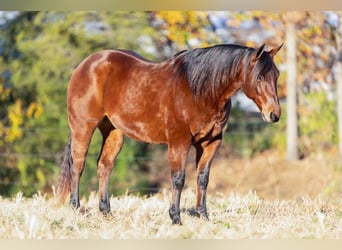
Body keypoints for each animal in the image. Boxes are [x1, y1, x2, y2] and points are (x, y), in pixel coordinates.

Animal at [57, 43, 284, 225]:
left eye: (277, 75)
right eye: (260, 76)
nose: (274, 114)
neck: (199, 90)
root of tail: (85, 64)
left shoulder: (211, 142)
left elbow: (203, 178)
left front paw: (203, 216)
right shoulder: (178, 141)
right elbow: (178, 178)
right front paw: (175, 218)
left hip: (113, 131)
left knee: (104, 166)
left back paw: (106, 212)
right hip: (83, 127)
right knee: (77, 165)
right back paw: (76, 208)